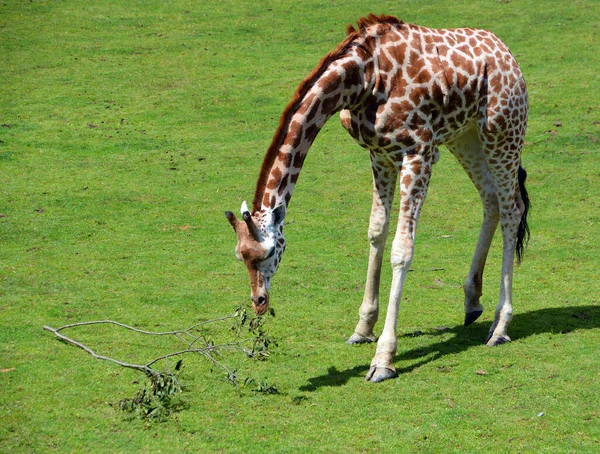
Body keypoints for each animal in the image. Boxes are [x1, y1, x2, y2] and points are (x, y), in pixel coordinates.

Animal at [225, 14, 528, 382]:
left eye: (269, 251)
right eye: (240, 256)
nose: (259, 301)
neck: (361, 79)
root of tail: (506, 52)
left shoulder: (418, 152)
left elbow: (402, 249)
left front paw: (383, 359)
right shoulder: (379, 155)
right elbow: (376, 232)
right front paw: (362, 328)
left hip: (502, 131)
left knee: (513, 208)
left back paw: (500, 326)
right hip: (465, 135)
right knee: (491, 199)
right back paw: (472, 302)